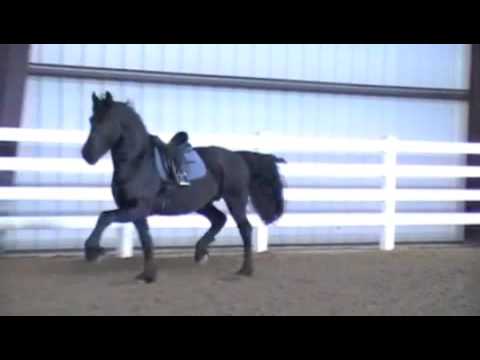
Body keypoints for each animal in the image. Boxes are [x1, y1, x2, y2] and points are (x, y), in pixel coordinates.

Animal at [81, 91, 284, 282]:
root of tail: (238, 156)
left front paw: (93, 251)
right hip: (203, 204)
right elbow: (146, 239)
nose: (87, 154)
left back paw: (245, 270)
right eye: (91, 120)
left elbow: (105, 217)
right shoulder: (135, 211)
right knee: (219, 219)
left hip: (235, 200)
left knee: (245, 229)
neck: (138, 163)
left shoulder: (138, 208)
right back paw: (201, 253)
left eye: (106, 121)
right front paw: (148, 275)